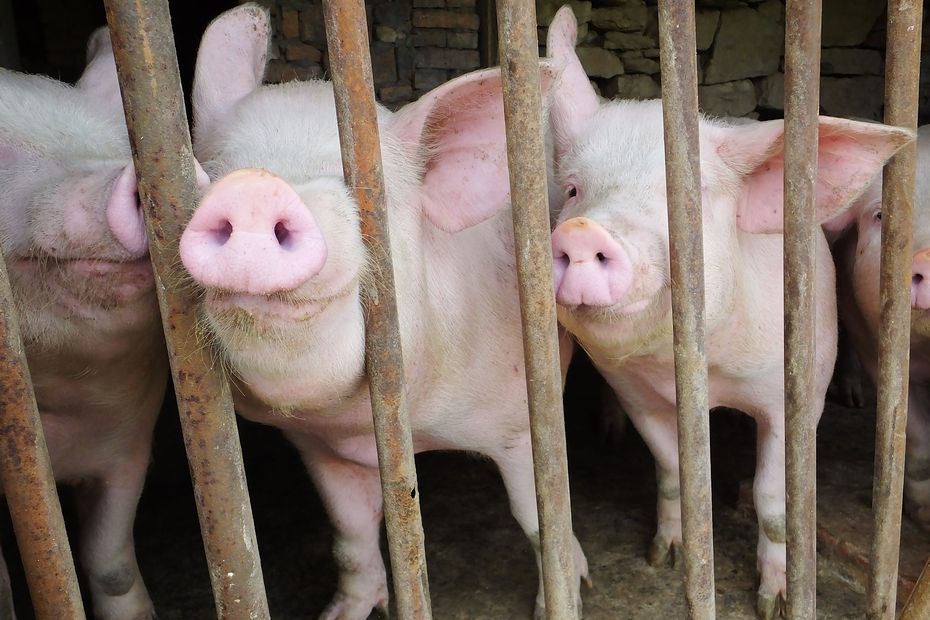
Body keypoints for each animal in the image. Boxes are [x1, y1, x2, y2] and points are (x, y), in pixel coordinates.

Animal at [180, 4, 584, 620]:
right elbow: (350, 535)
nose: (253, 187)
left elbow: (541, 522)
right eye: (215, 170)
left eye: (362, 190)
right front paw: (342, 612)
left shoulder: (523, 421)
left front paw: (564, 596)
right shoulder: (318, 448)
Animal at [540, 6, 908, 620]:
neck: (705, 374)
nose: (583, 231)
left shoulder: (796, 389)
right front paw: (665, 556)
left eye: (688, 201)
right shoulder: (638, 391)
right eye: (572, 191)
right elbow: (672, 470)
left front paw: (774, 600)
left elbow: (773, 500)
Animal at [824, 123, 928, 532]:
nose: (926, 259)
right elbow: (912, 434)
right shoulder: (875, 346)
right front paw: (921, 513)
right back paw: (855, 399)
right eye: (881, 216)